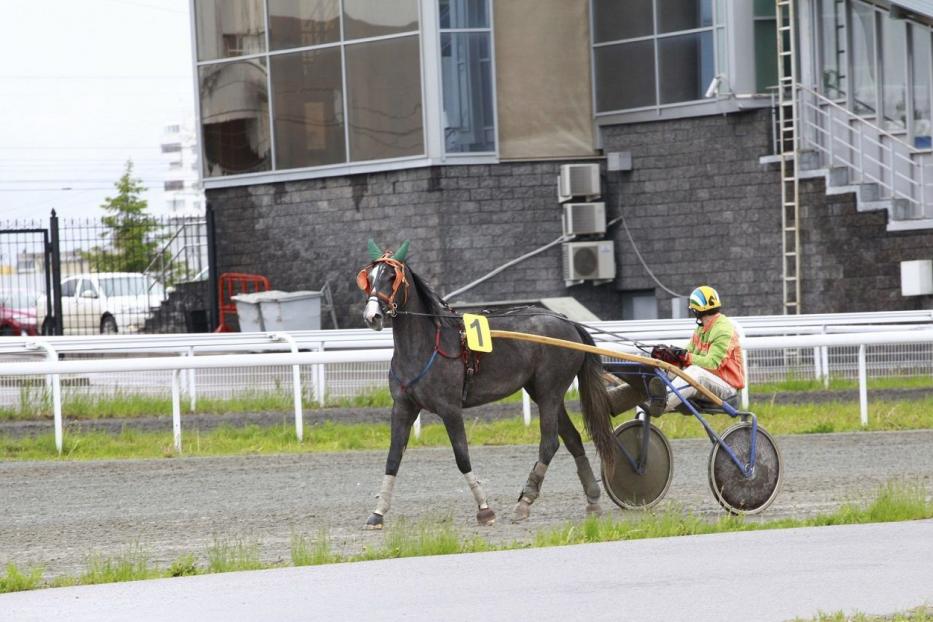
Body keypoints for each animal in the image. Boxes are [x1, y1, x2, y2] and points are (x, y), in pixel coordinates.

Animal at [354, 241, 616, 528]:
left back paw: (524, 502)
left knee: (550, 443)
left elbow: (462, 456)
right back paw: (592, 499)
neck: (425, 346)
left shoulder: (450, 409)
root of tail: (566, 321)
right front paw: (377, 513)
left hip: (550, 391)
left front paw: (484, 509)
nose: (372, 316)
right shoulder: (403, 407)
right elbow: (393, 459)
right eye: (369, 278)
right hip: (542, 391)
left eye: (392, 277)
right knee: (573, 439)